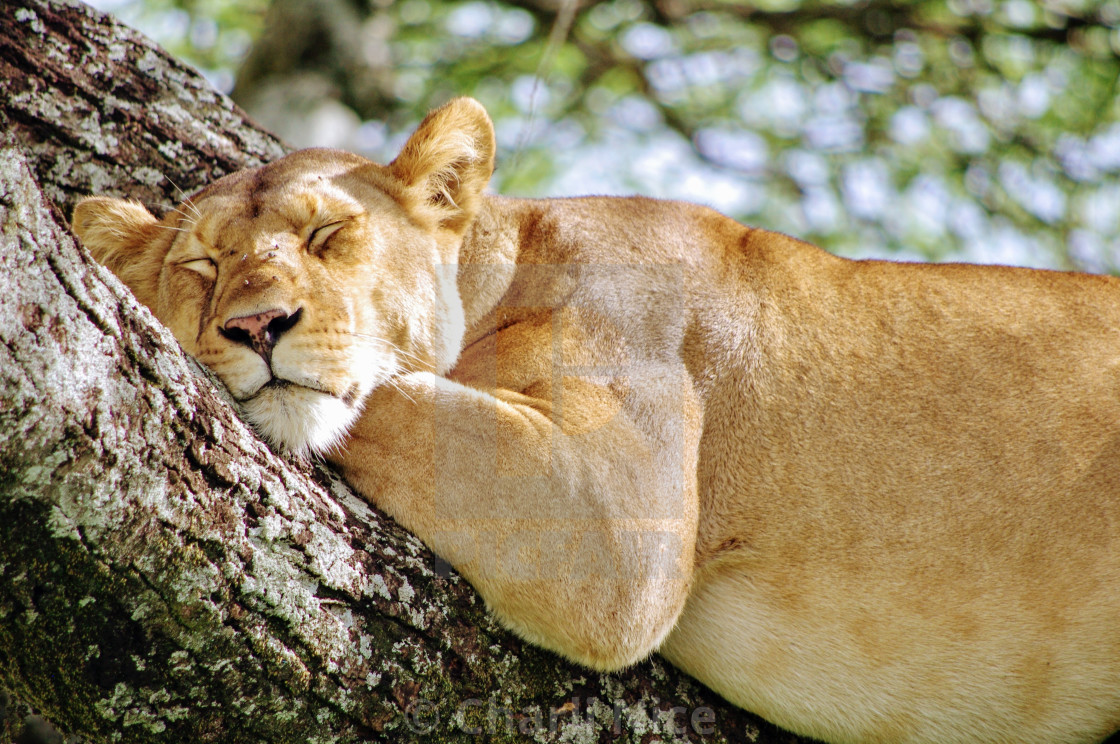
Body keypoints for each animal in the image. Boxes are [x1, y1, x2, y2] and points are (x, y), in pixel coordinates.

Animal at [72, 98, 1120, 744]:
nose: (256, 326)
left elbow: (390, 393)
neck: (504, 269)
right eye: (203, 266)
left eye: (329, 234)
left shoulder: (616, 517)